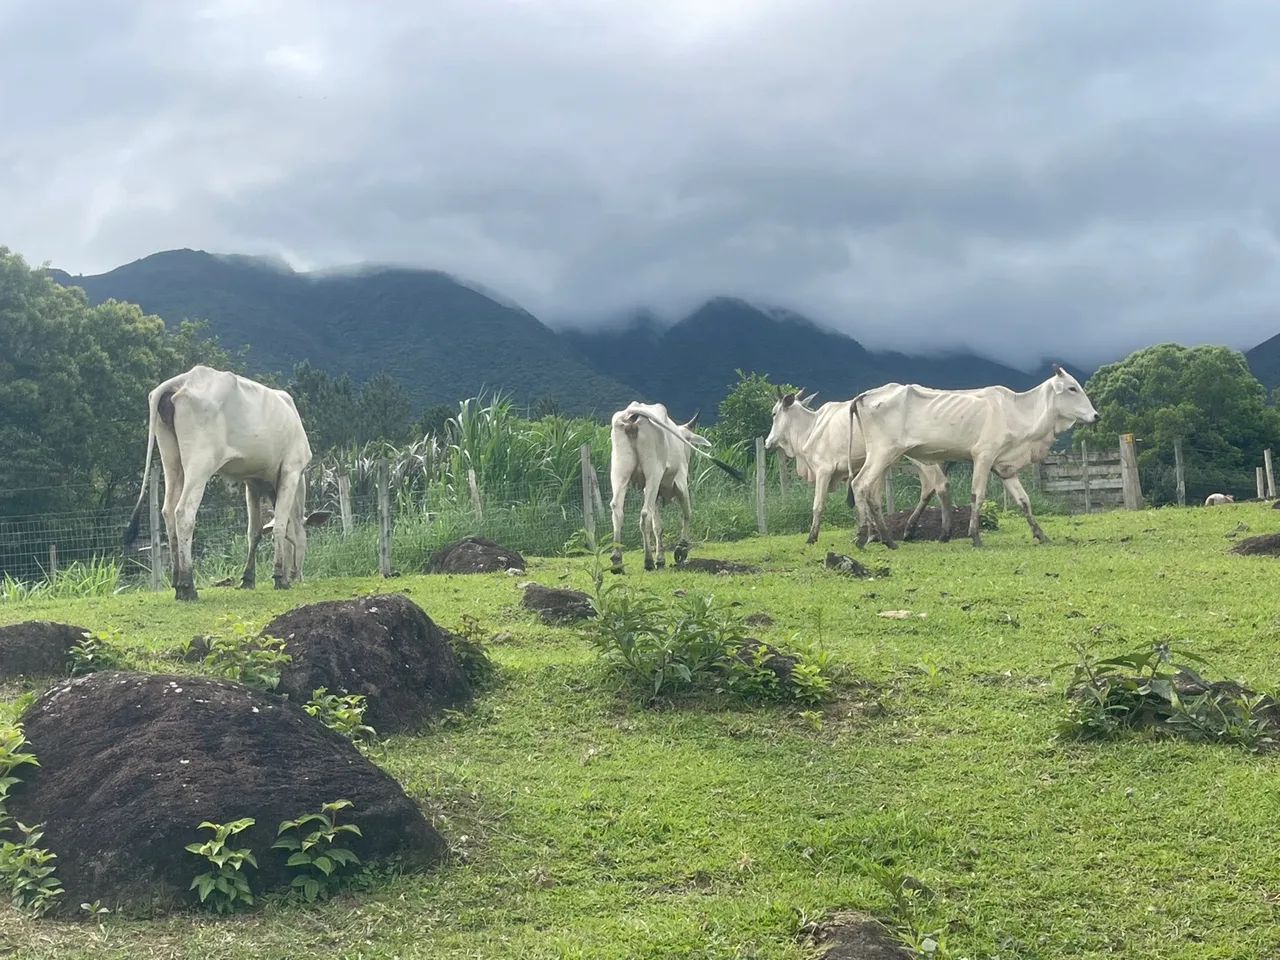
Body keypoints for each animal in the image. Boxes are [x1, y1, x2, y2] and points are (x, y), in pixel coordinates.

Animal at [124, 365, 322, 601]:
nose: (297, 576)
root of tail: (182, 380)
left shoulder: (252, 482)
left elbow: (254, 531)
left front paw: (248, 579)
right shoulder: (291, 470)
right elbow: (281, 526)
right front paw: (280, 578)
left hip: (171, 460)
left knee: (168, 510)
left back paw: (177, 583)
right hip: (200, 462)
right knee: (184, 512)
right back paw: (188, 586)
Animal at [608, 402, 743, 572]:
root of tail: (631, 415)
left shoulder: (653, 492)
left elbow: (658, 526)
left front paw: (661, 559)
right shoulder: (681, 483)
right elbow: (687, 514)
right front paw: (681, 548)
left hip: (619, 472)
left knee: (617, 509)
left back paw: (617, 561)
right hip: (654, 472)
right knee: (645, 514)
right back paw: (648, 561)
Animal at [765, 389, 954, 544]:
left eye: (773, 414)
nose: (767, 442)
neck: (810, 428)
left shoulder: (824, 470)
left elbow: (818, 505)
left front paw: (812, 537)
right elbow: (866, 500)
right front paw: (871, 535)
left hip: (918, 456)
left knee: (939, 484)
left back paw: (941, 533)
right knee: (928, 487)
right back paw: (910, 530)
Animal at [848, 365, 1100, 549]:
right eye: (1072, 388)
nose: (1096, 416)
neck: (1018, 412)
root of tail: (865, 395)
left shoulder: (1004, 467)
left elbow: (1024, 501)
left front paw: (1041, 535)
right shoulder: (983, 457)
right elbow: (977, 495)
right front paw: (975, 536)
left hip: (886, 458)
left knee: (873, 494)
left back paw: (885, 539)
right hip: (883, 452)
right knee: (860, 484)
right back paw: (865, 537)